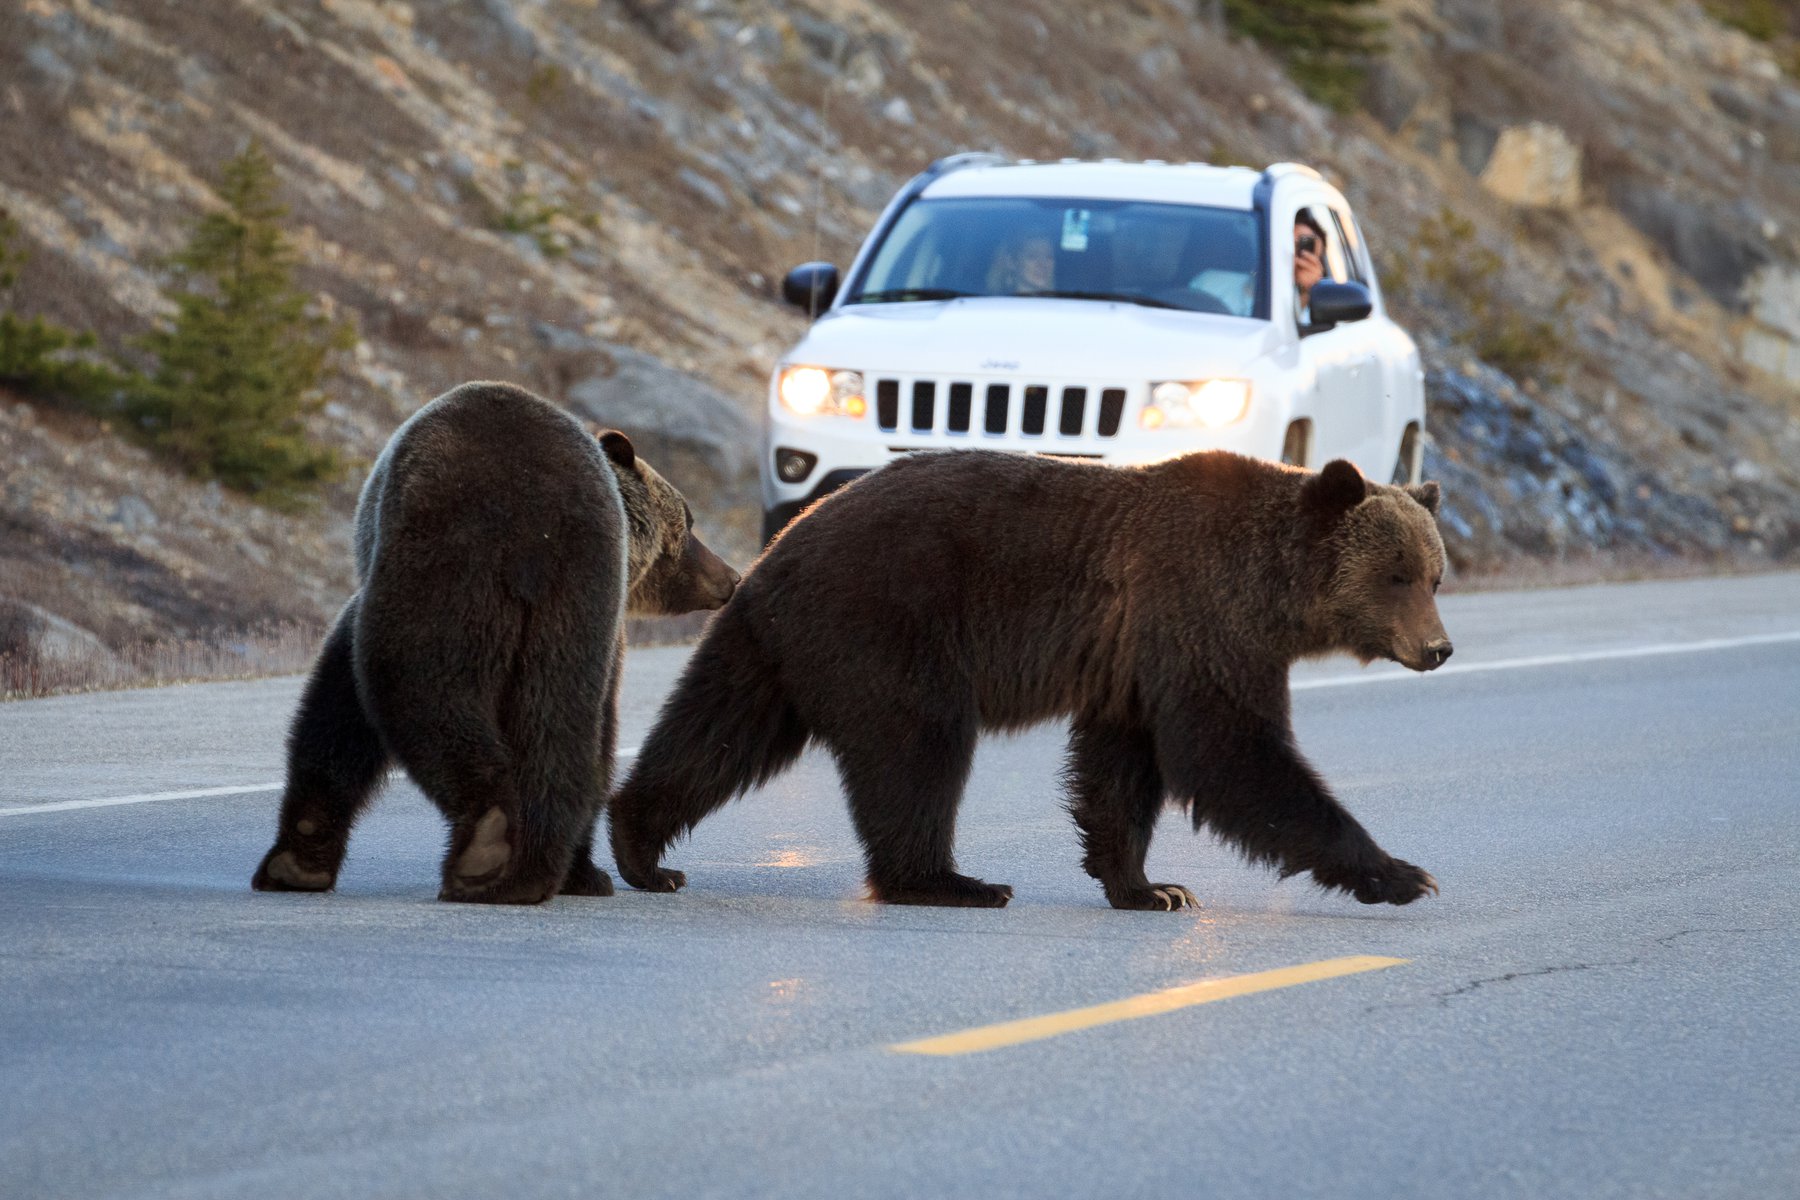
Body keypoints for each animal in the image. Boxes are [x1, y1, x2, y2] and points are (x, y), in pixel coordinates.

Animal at [252, 379, 738, 906]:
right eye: (689, 522)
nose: (730, 576)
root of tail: (530, 527)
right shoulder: (606, 628)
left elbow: (339, 705)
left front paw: (298, 861)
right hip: (565, 600)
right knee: (556, 726)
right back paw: (525, 870)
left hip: (450, 576)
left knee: (428, 693)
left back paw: (489, 849)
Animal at [612, 449, 1454, 910]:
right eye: (1397, 574)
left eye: (1434, 573)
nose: (1439, 648)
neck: (1272, 590)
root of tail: (774, 551)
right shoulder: (1198, 613)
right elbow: (1230, 752)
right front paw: (1402, 873)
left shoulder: (1133, 659)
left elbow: (1123, 769)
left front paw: (1150, 887)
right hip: (888, 620)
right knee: (919, 749)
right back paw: (950, 880)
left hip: (777, 647)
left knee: (717, 733)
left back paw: (641, 849)